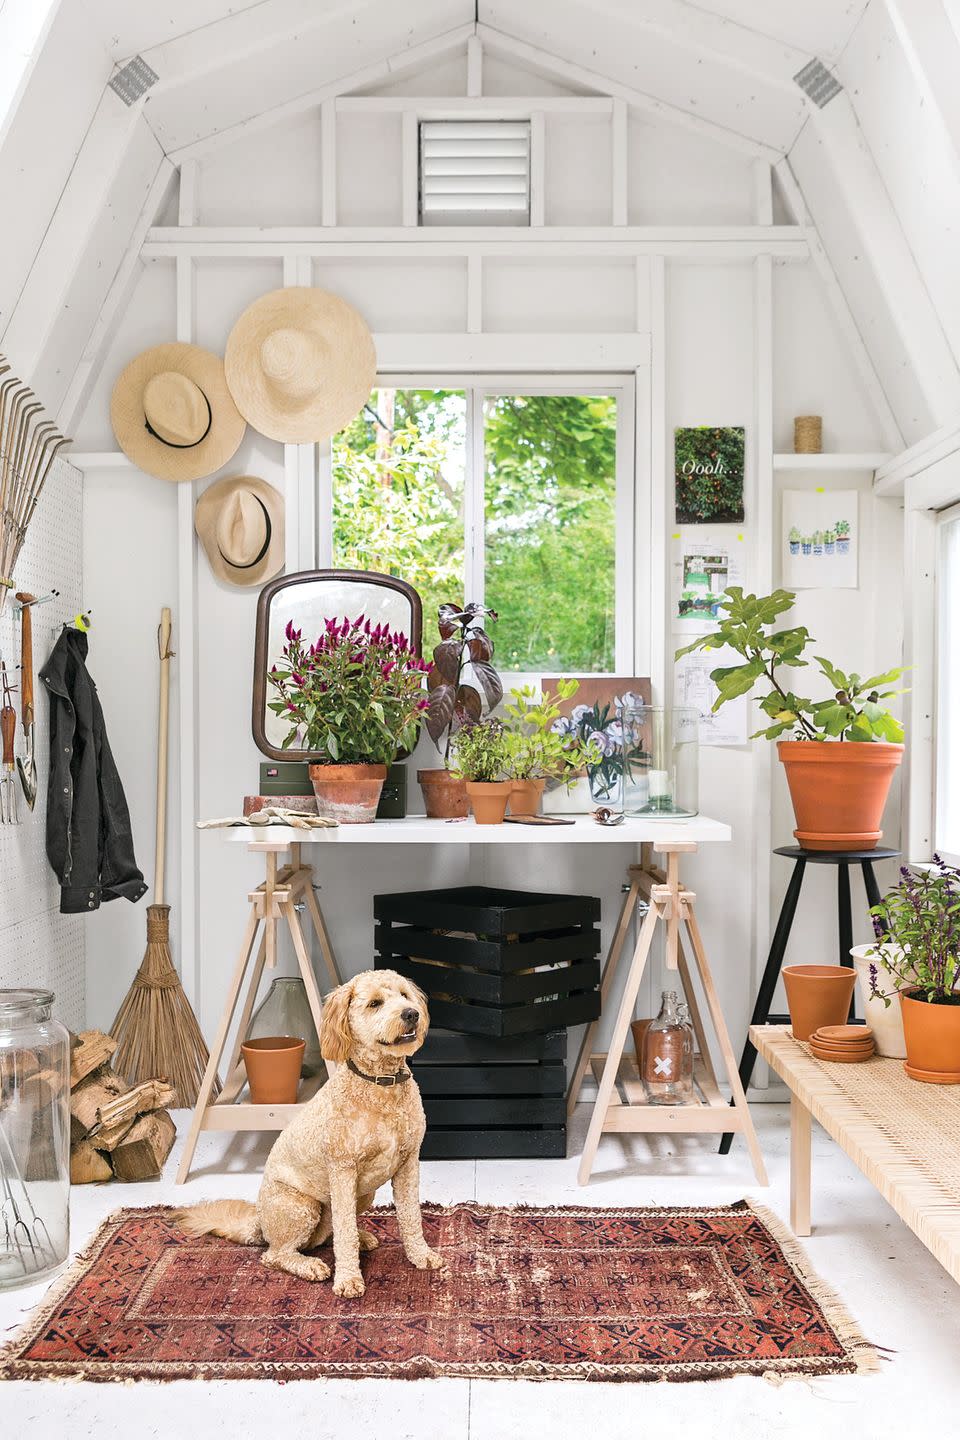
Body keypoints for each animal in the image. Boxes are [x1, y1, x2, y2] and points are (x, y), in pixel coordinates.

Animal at [174, 967, 446, 1296]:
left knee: (327, 1236)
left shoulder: (408, 1163)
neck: (380, 1084)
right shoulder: (342, 1169)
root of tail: (260, 1222)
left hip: (363, 1193)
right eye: (375, 1003)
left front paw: (421, 1255)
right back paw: (310, 1266)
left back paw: (363, 1237)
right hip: (301, 1205)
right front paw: (348, 1280)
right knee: (277, 1254)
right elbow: (344, 1232)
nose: (411, 1013)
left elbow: (410, 1216)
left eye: (405, 995)